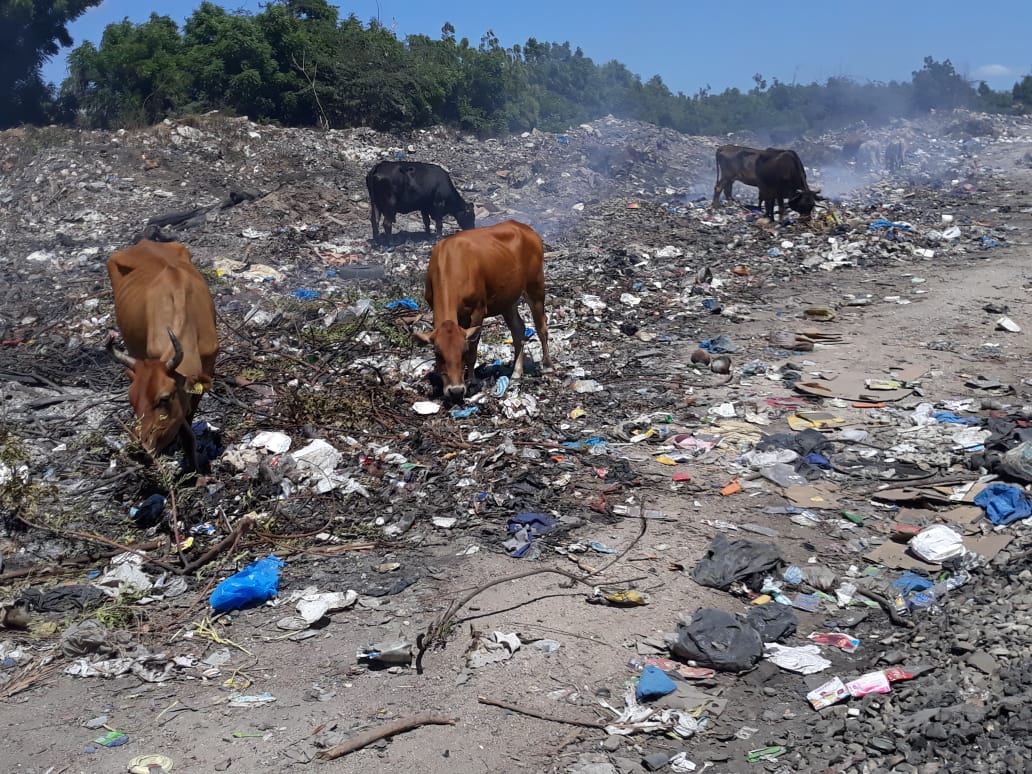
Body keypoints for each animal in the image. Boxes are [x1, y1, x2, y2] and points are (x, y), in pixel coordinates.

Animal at [412, 218, 553, 400]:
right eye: (438, 354)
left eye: (463, 351)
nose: (455, 390)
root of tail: (525, 228)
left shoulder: (477, 310)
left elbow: (473, 349)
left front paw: (471, 381)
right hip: (507, 299)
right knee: (518, 329)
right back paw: (516, 372)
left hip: (535, 286)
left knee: (541, 326)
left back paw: (547, 364)